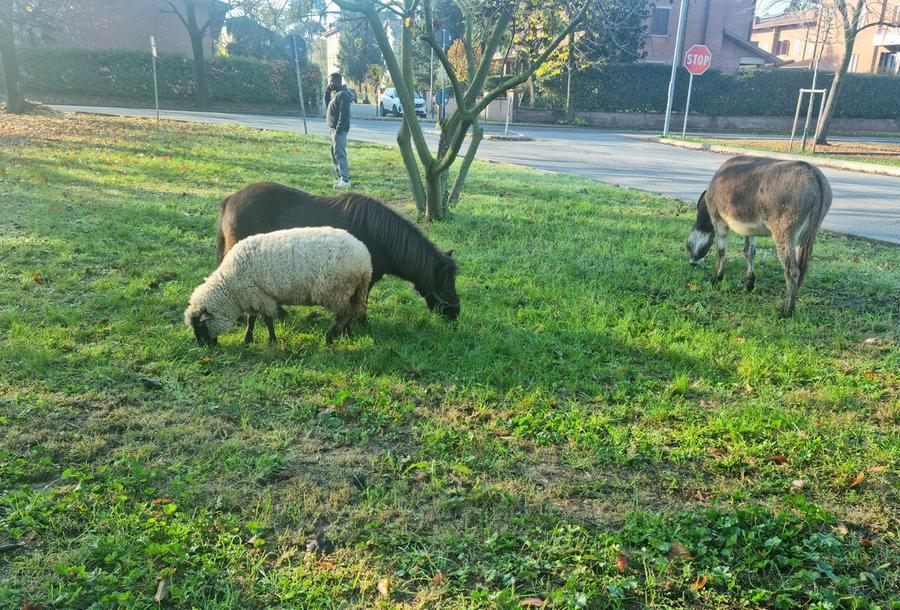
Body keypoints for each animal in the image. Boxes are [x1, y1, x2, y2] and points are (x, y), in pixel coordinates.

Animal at [185, 227, 372, 345]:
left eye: (200, 326)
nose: (203, 345)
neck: (230, 287)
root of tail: (366, 262)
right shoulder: (253, 295)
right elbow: (252, 319)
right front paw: (247, 339)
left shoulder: (259, 296)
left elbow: (267, 320)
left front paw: (272, 340)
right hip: (351, 291)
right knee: (351, 312)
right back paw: (345, 333)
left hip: (335, 290)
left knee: (345, 313)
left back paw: (330, 336)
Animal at [215, 182, 459, 342]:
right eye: (446, 282)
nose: (456, 313)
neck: (380, 237)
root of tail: (230, 198)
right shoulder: (364, 278)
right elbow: (359, 303)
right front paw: (355, 327)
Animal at [686, 156, 832, 316]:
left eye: (687, 246)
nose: (693, 263)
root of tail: (814, 177)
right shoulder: (749, 230)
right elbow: (749, 252)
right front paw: (749, 285)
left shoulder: (718, 219)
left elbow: (721, 251)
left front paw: (717, 278)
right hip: (806, 235)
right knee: (802, 268)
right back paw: (791, 302)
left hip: (784, 231)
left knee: (792, 270)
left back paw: (787, 310)